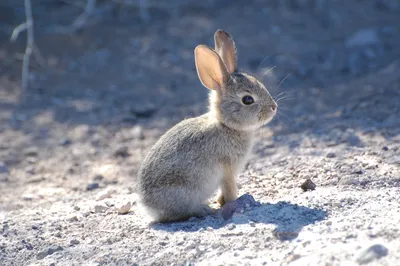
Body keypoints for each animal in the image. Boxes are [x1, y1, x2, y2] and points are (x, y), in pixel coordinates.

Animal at [136, 29, 276, 222]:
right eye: (248, 99)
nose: (274, 107)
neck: (226, 125)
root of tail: (148, 206)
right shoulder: (227, 170)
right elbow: (230, 190)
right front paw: (235, 202)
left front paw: (222, 201)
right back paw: (204, 210)